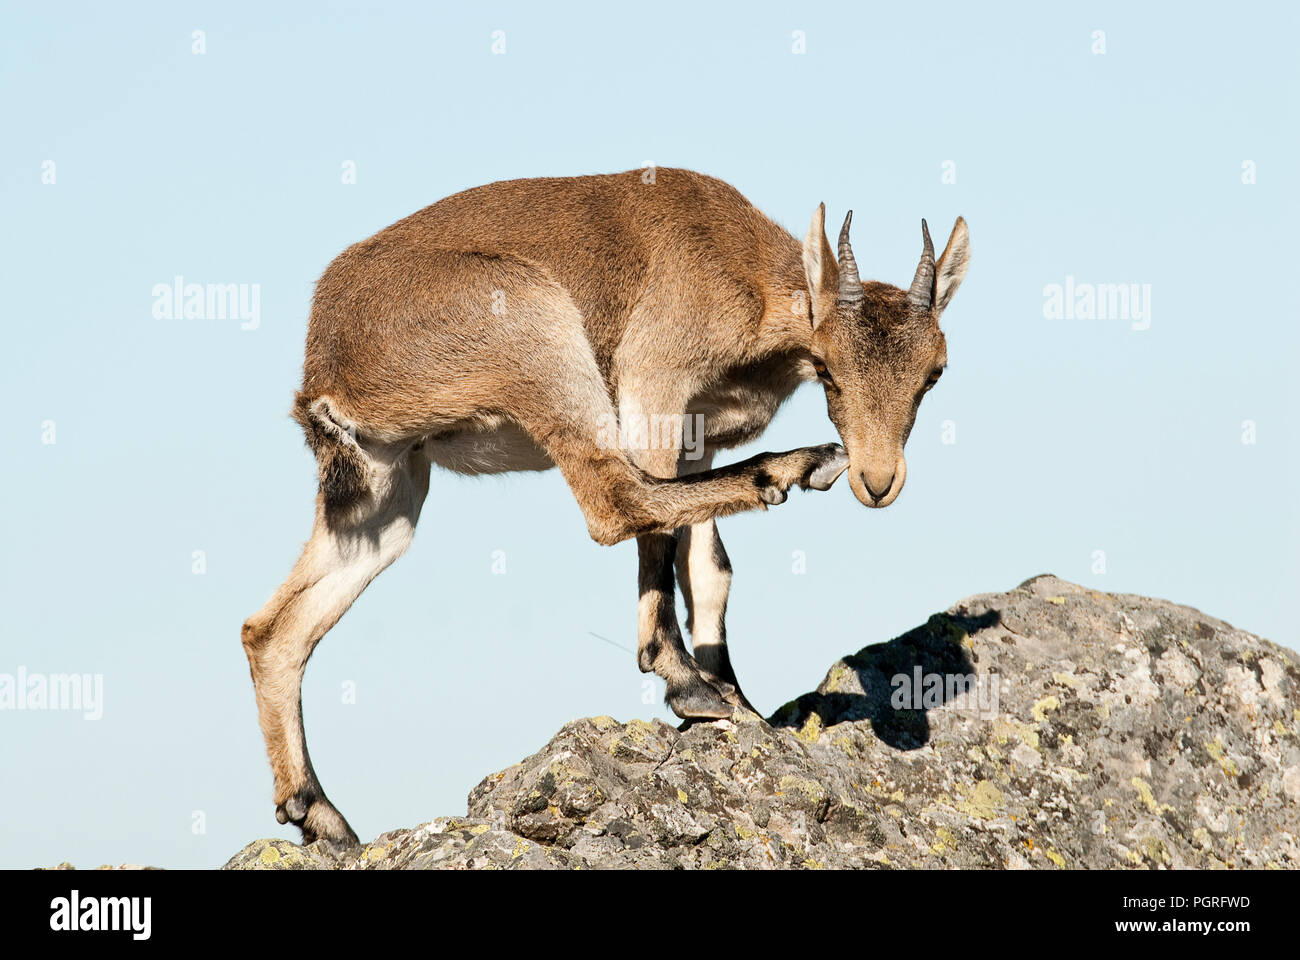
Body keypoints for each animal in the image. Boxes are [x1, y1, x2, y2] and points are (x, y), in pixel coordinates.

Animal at [241, 168, 970, 845]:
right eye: (829, 369)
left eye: (933, 373)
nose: (878, 480)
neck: (739, 267)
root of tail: (327, 368)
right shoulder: (655, 391)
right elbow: (659, 527)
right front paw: (691, 688)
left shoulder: (699, 439)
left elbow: (707, 566)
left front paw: (738, 698)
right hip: (540, 340)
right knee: (614, 501)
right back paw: (799, 466)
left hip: (387, 493)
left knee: (273, 629)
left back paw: (320, 815)